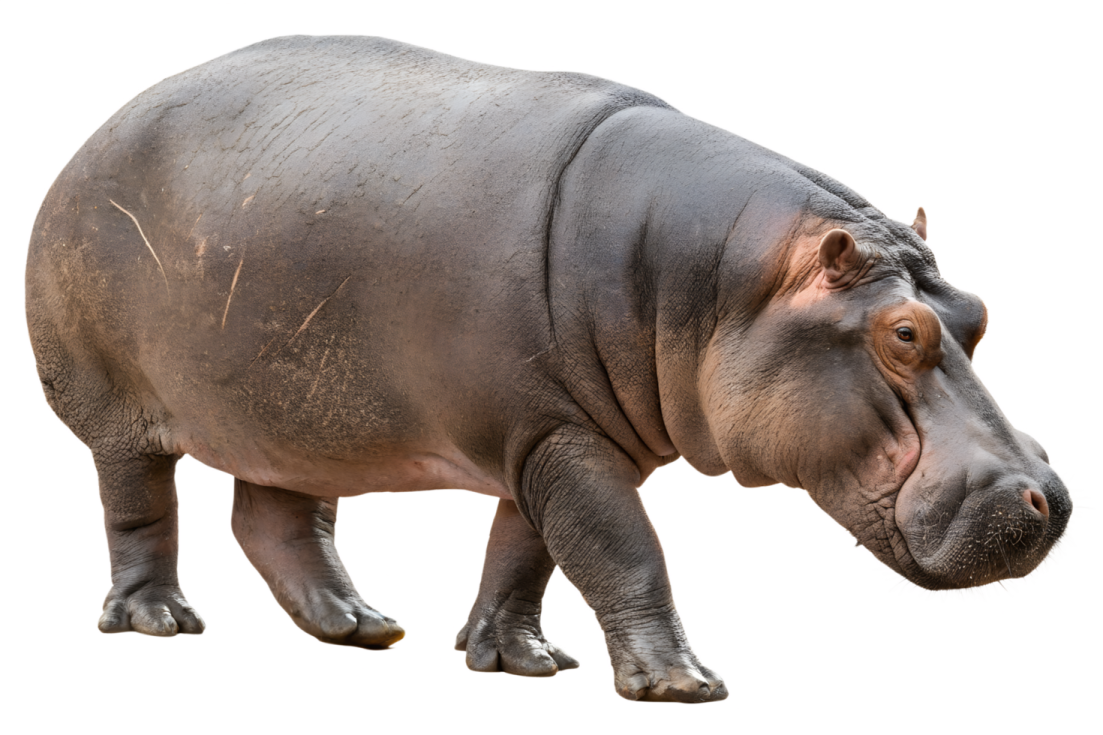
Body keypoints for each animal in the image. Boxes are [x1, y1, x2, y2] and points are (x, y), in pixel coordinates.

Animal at [23, 33, 1073, 704]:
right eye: (901, 334)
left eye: (975, 316)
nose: (1049, 499)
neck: (728, 283)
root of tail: (105, 127)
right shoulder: (559, 431)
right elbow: (622, 547)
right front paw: (683, 686)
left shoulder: (545, 434)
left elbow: (528, 551)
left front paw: (517, 661)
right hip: (117, 406)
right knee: (140, 500)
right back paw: (160, 620)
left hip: (294, 410)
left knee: (278, 518)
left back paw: (363, 628)